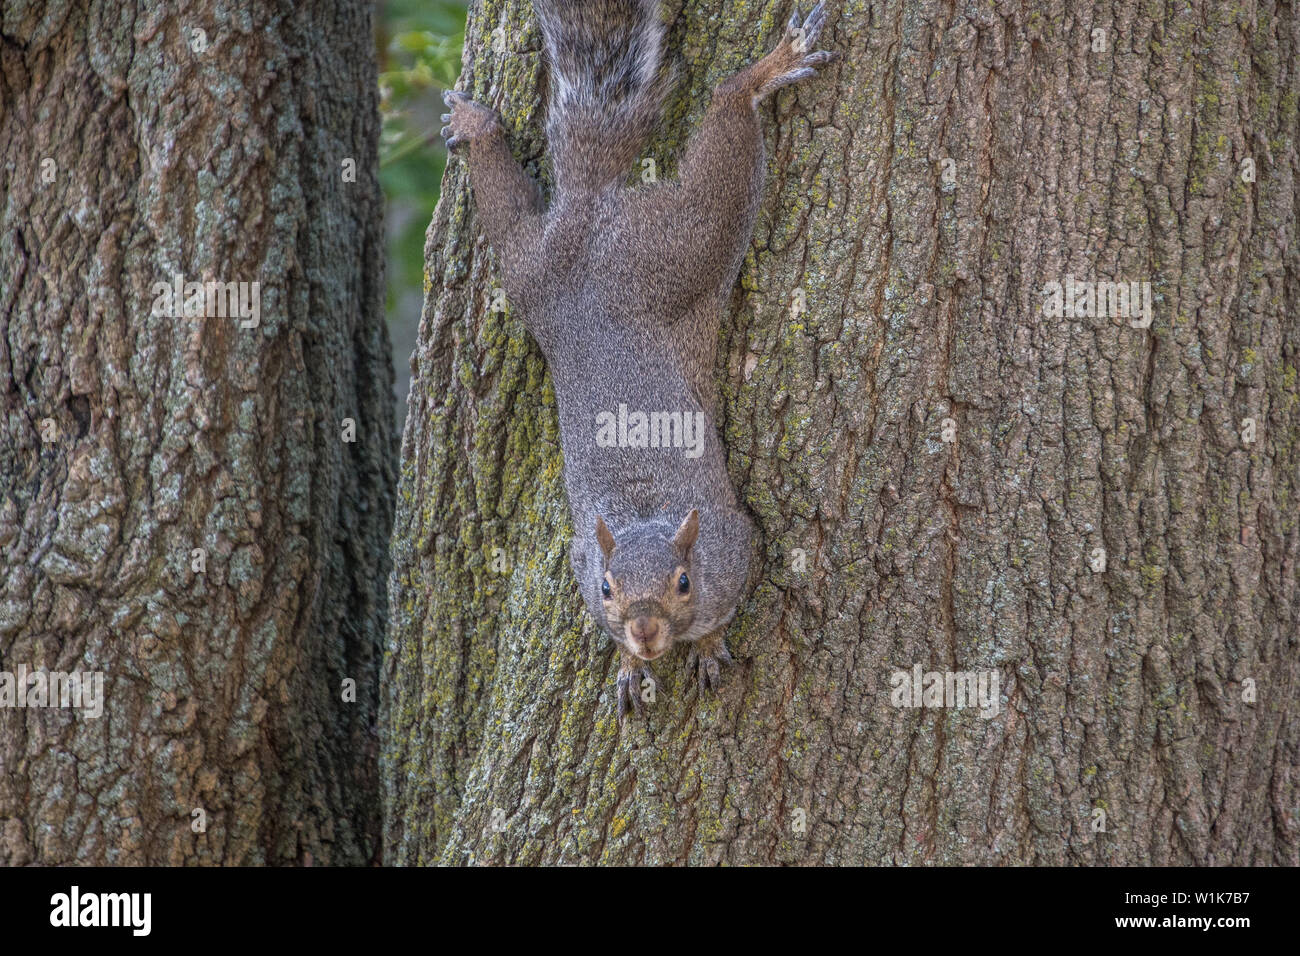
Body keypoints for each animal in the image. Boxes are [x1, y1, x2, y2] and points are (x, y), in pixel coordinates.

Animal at [441, 0, 837, 717]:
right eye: (605, 589)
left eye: (683, 582)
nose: (645, 631)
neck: (648, 517)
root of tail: (588, 219)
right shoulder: (582, 561)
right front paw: (628, 666)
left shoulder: (737, 545)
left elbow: (725, 613)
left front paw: (707, 648)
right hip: (532, 269)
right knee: (506, 204)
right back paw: (476, 128)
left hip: (678, 245)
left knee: (725, 116)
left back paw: (767, 69)